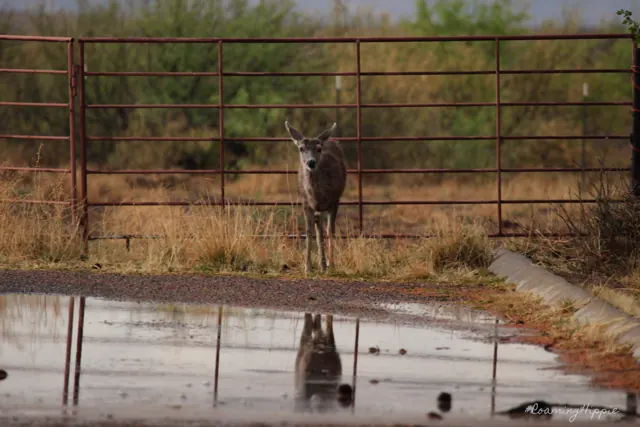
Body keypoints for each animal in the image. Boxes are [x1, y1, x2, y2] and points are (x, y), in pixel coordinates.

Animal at [284, 121, 347, 274]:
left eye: (319, 149)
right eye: (301, 148)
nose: (311, 162)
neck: (317, 195)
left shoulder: (334, 201)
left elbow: (330, 231)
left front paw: (332, 264)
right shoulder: (306, 203)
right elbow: (308, 231)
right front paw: (307, 267)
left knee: (324, 229)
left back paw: (326, 264)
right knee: (318, 229)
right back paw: (322, 264)